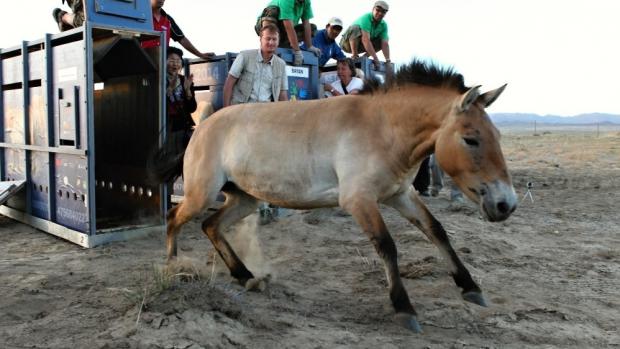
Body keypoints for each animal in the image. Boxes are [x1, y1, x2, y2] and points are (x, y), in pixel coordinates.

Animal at [151, 58, 520, 330]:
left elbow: (436, 231)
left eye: (497, 135)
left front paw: (470, 288)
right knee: (174, 218)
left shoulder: (400, 194)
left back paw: (244, 276)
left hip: (244, 198)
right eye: (471, 138)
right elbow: (387, 246)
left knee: (210, 226)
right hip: (202, 194)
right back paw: (173, 267)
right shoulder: (358, 201)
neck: (383, 128)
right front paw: (404, 308)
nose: (506, 204)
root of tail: (202, 127)